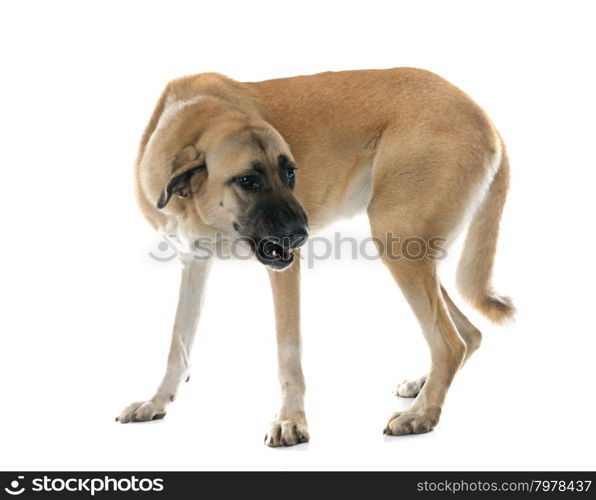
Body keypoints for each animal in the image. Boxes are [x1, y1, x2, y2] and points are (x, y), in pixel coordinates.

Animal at [115, 68, 512, 448]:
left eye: (290, 172)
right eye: (247, 180)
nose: (301, 234)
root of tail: (485, 118)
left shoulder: (283, 270)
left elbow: (288, 354)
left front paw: (291, 420)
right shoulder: (195, 263)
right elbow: (177, 343)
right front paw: (157, 401)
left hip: (397, 239)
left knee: (448, 343)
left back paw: (422, 414)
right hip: (411, 249)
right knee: (469, 335)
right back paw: (423, 387)